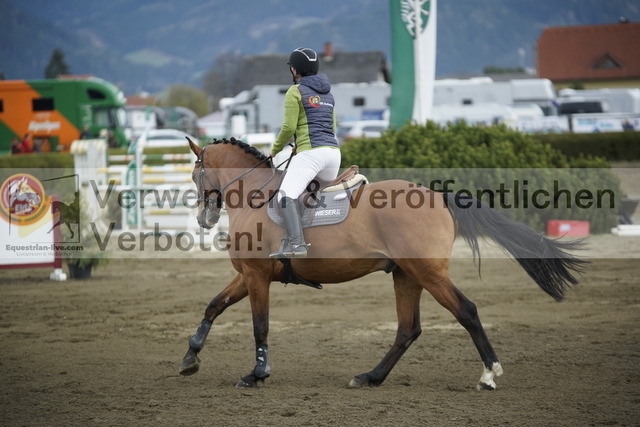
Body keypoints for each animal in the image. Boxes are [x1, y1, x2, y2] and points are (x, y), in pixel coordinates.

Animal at [179, 138, 584, 392]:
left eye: (196, 173)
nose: (203, 218)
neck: (256, 195)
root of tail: (439, 196)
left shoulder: (257, 276)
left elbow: (259, 326)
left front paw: (257, 374)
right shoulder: (246, 275)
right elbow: (213, 305)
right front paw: (189, 357)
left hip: (429, 274)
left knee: (466, 311)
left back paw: (488, 374)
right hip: (407, 275)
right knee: (407, 329)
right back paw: (370, 377)